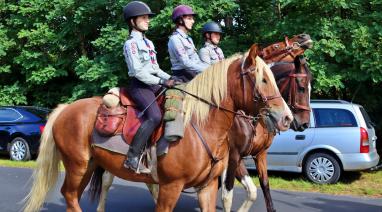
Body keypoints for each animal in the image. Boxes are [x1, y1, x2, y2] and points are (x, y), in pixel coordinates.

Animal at [23, 45, 292, 212]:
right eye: (263, 79)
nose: (287, 118)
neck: (200, 126)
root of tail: (64, 109)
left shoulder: (207, 187)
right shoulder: (171, 187)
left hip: (88, 166)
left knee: (74, 196)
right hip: (77, 165)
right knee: (70, 195)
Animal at [93, 33, 314, 212]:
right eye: (301, 87)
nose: (297, 121)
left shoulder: (259, 156)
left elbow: (260, 189)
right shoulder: (235, 157)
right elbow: (228, 194)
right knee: (107, 181)